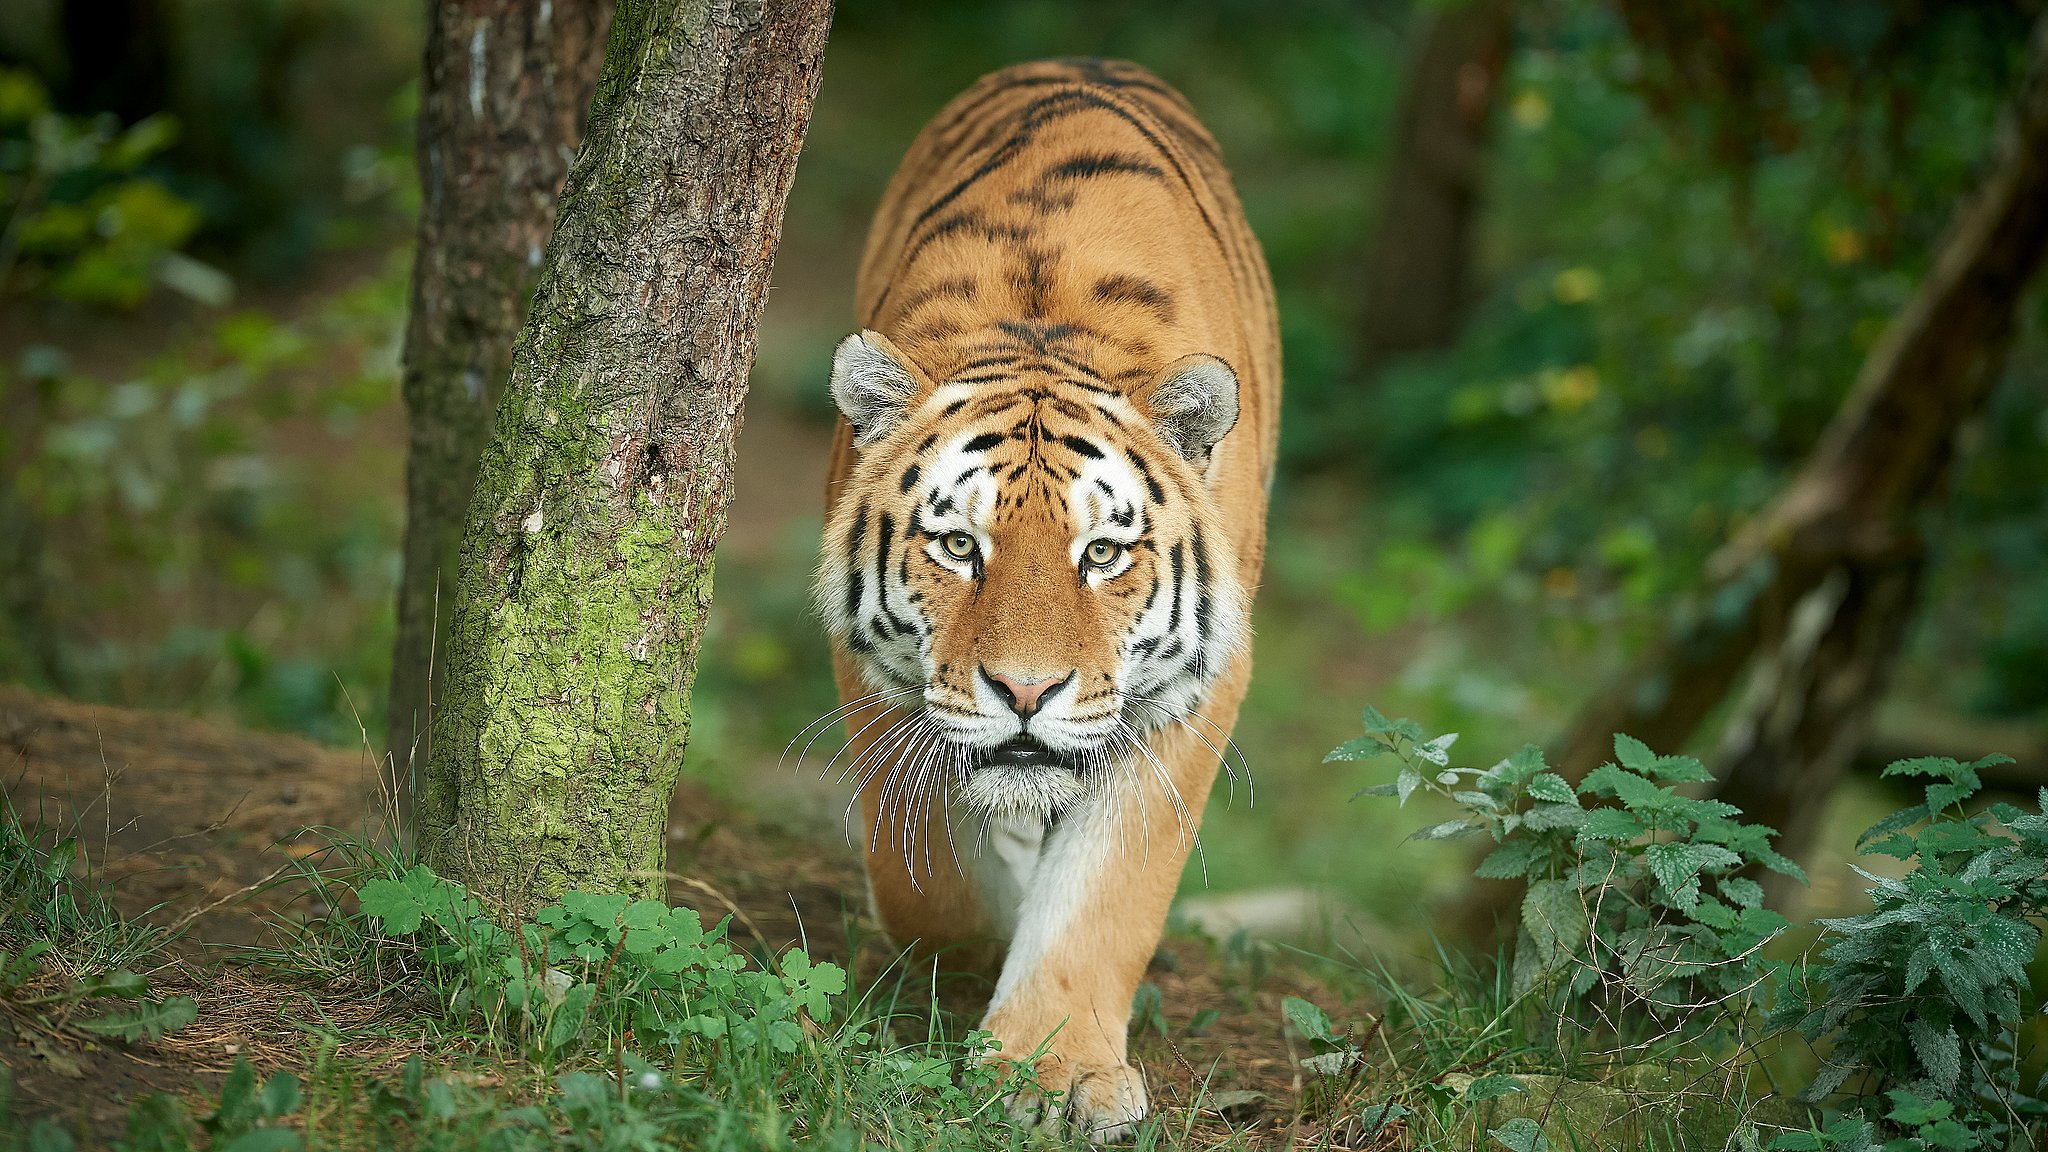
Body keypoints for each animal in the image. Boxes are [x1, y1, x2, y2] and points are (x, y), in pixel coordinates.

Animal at [815, 56, 1277, 1139]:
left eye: (1102, 554)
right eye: (957, 544)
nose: (1025, 694)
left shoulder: (1193, 690)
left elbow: (1107, 889)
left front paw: (1052, 1072)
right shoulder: (878, 679)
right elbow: (921, 879)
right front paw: (990, 940)